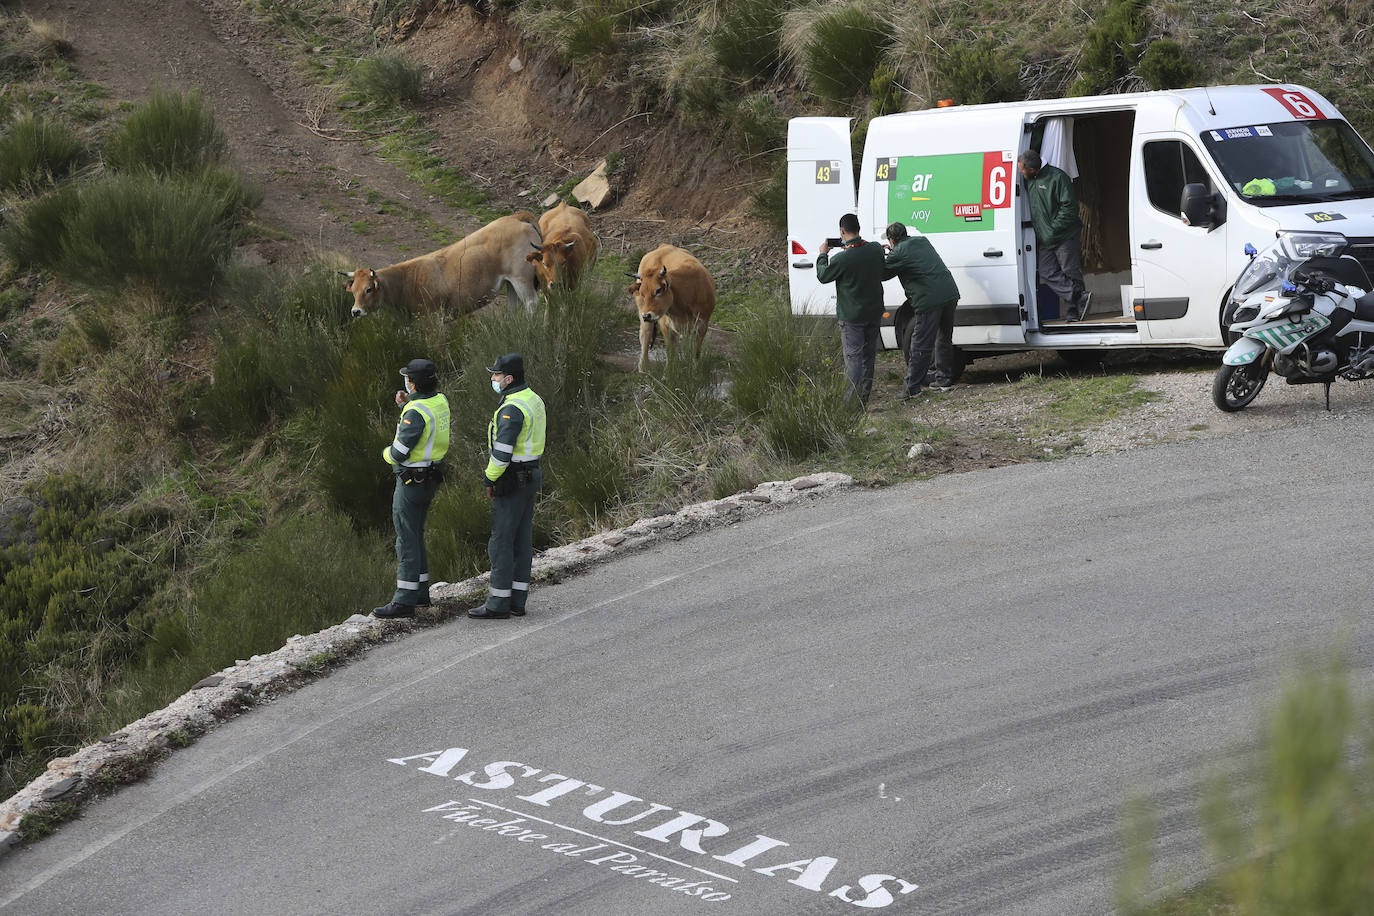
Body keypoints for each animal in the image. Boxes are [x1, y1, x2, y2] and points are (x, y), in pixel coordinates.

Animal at [340, 212, 544, 318]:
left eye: (368, 289)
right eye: (354, 291)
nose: (355, 311)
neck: (407, 281)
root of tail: (515, 216)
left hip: (521, 278)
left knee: (532, 303)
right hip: (511, 283)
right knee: (514, 307)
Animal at [626, 245, 714, 373]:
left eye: (658, 290)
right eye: (642, 293)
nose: (646, 315)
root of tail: (664, 246)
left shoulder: (702, 325)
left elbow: (695, 352)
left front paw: (694, 372)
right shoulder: (665, 325)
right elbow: (671, 353)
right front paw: (667, 374)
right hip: (643, 313)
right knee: (645, 336)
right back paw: (643, 368)